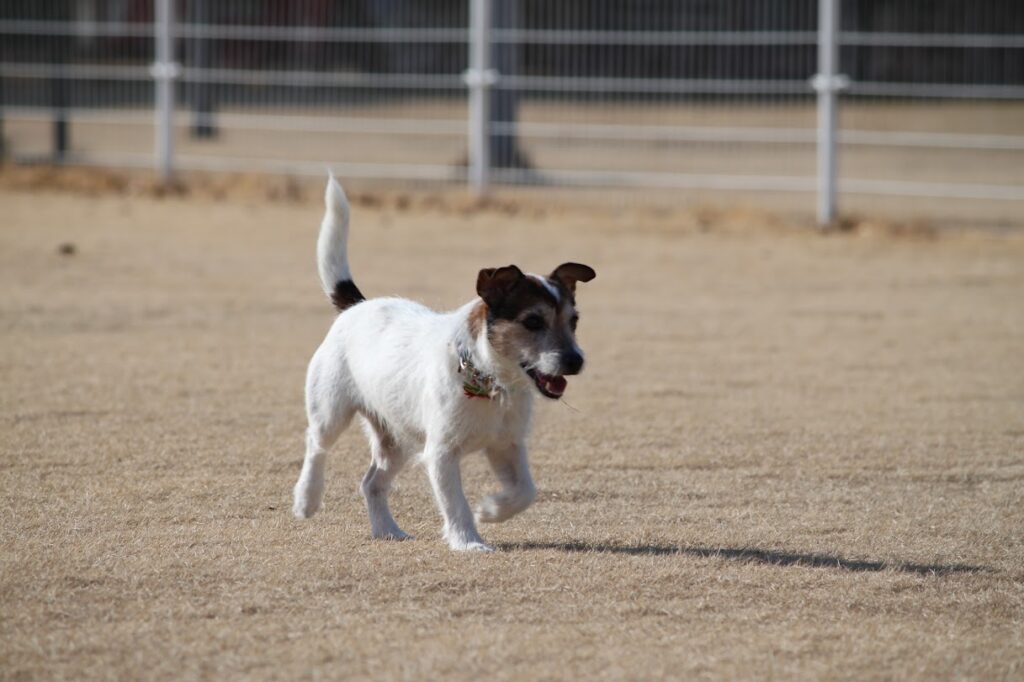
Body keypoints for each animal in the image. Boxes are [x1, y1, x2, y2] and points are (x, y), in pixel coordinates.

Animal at [292, 174, 598, 548]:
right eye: (533, 321)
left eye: (573, 321)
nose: (575, 360)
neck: (490, 381)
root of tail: (356, 306)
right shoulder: (441, 453)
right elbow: (455, 503)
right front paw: (469, 541)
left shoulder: (507, 445)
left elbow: (526, 491)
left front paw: (491, 510)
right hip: (331, 411)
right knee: (316, 444)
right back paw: (307, 499)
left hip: (397, 437)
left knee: (372, 483)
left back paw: (388, 530)